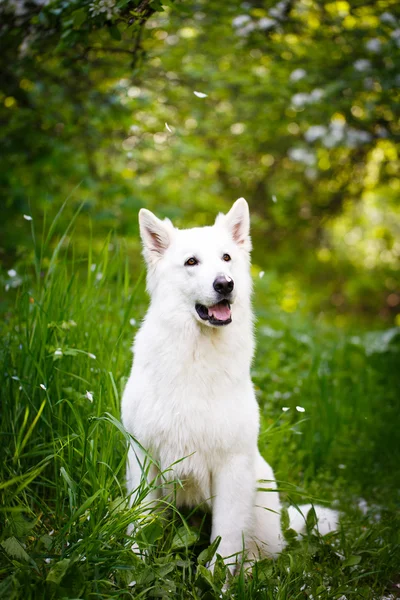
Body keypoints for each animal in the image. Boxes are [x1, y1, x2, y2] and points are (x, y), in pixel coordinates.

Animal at [120, 197, 336, 572]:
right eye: (191, 262)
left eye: (226, 258)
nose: (225, 284)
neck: (196, 356)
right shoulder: (143, 458)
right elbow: (142, 527)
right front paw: (134, 573)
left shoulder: (231, 469)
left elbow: (226, 543)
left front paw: (219, 581)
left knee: (256, 554)